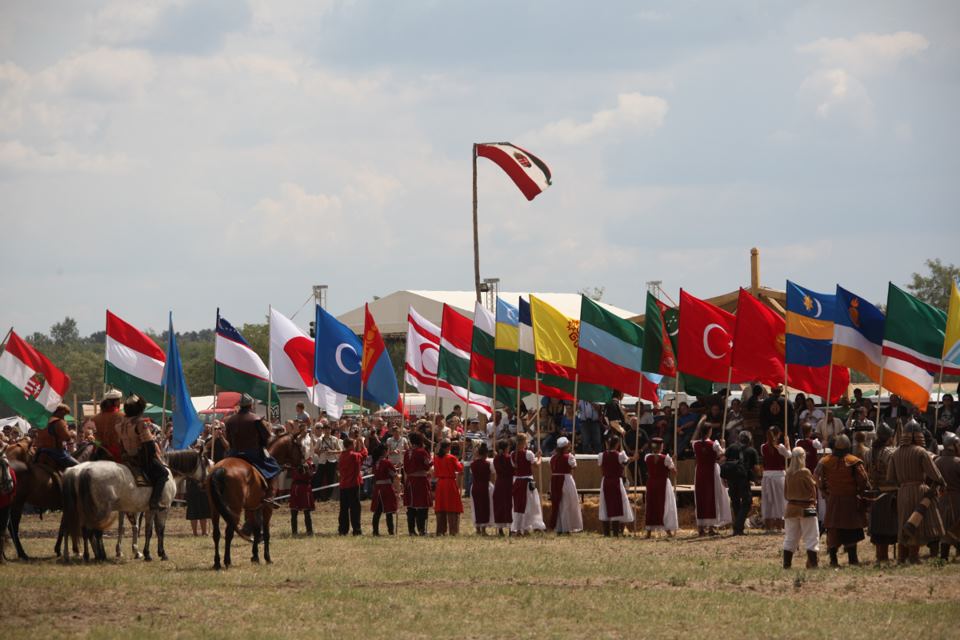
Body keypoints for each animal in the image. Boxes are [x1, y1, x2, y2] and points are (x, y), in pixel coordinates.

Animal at [206, 432, 304, 568]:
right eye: (299, 446)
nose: (304, 466)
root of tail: (220, 469)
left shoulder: (253, 507)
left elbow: (257, 529)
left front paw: (255, 556)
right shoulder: (267, 507)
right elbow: (266, 531)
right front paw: (267, 557)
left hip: (214, 509)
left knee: (216, 533)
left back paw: (217, 563)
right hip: (235, 509)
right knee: (229, 532)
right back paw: (227, 561)